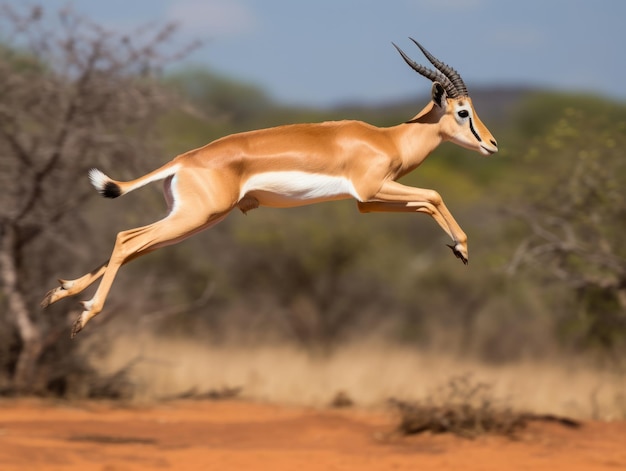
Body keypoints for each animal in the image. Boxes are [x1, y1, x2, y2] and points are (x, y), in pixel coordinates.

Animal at [40, 38, 498, 338]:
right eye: (462, 112)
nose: (492, 144)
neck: (388, 139)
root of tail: (183, 160)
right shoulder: (373, 191)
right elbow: (435, 195)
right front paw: (462, 248)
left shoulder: (367, 203)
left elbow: (428, 203)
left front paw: (458, 249)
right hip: (195, 218)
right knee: (125, 238)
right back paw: (84, 315)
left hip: (193, 221)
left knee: (132, 245)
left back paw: (59, 294)